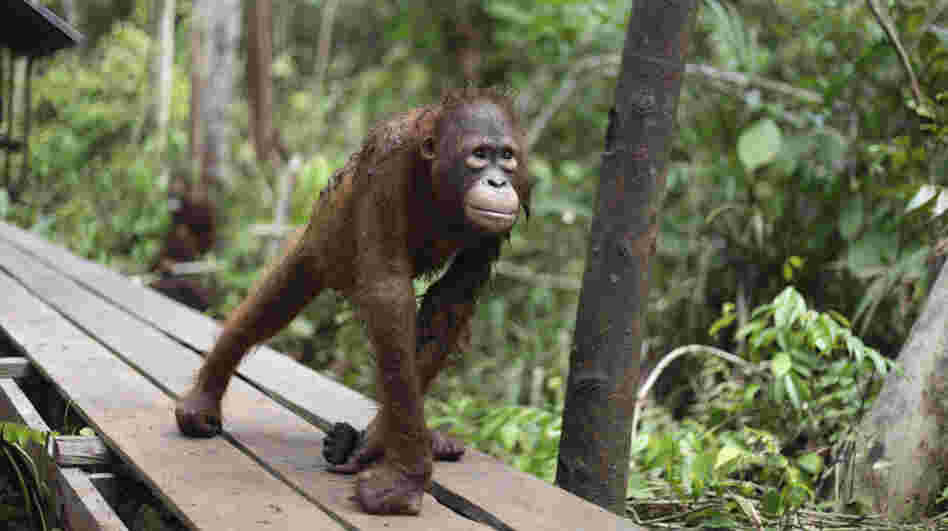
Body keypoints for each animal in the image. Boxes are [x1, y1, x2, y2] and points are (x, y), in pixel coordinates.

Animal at [174, 87, 531, 515]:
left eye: (507, 156)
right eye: (479, 154)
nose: (497, 181)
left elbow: (450, 299)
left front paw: (377, 448)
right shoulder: (388, 164)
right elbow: (389, 294)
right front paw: (405, 479)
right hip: (319, 239)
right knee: (267, 307)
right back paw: (202, 401)